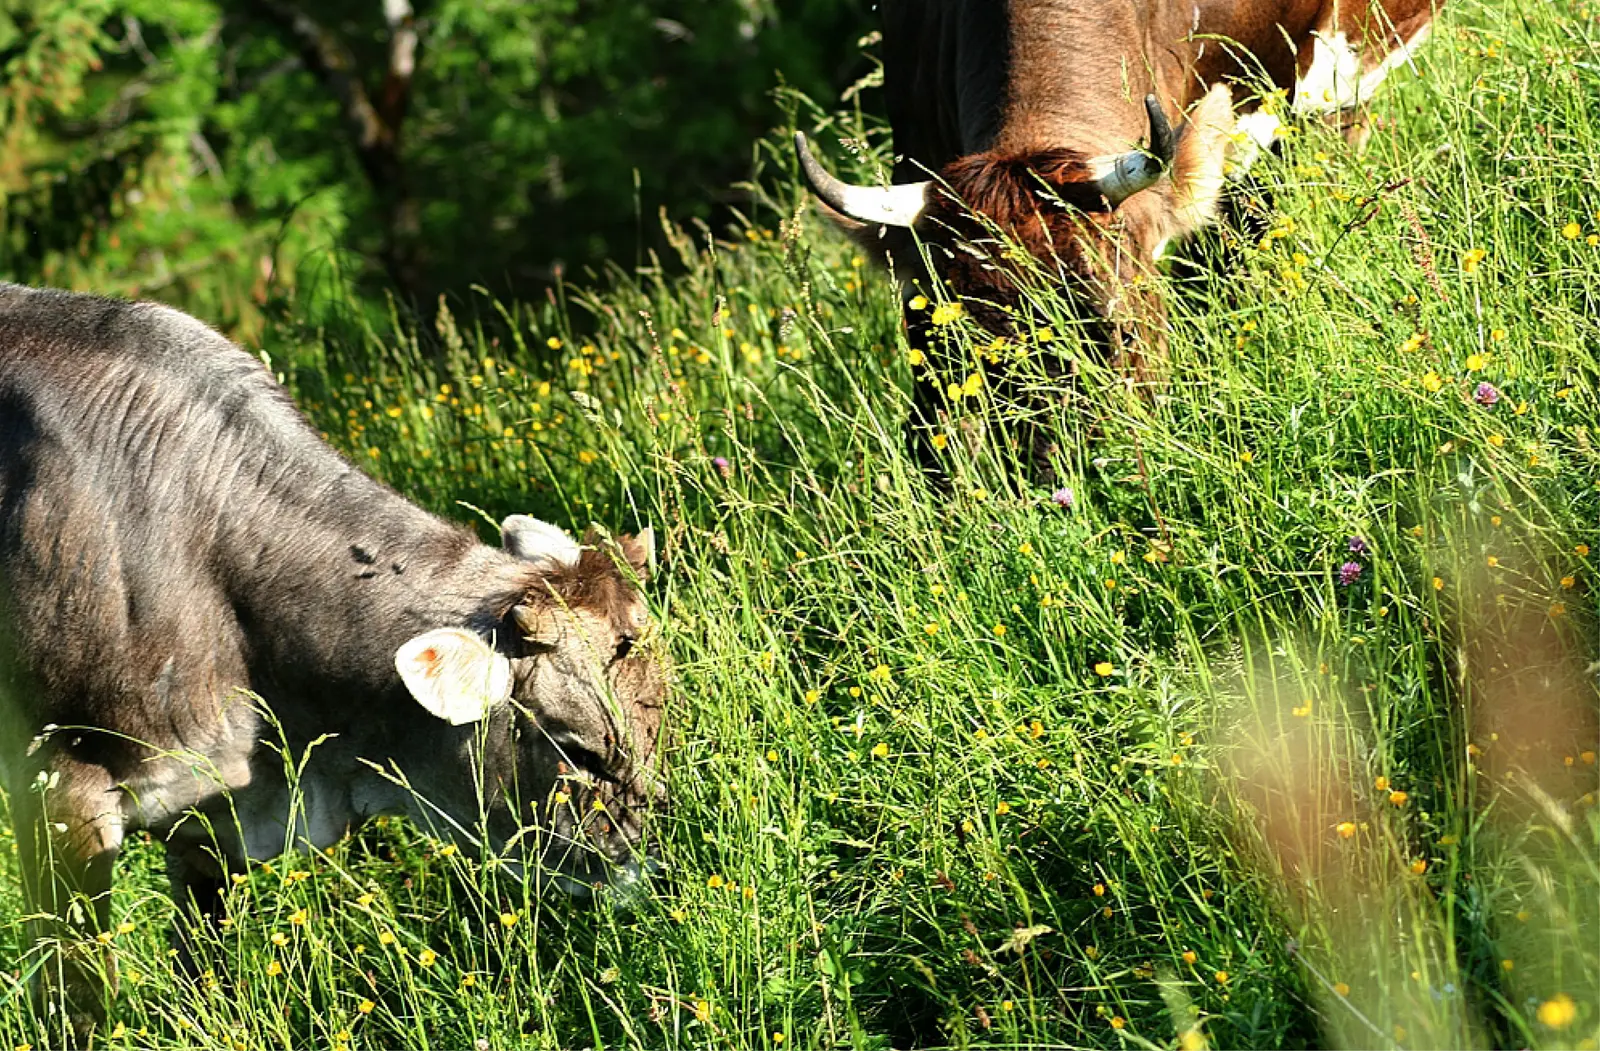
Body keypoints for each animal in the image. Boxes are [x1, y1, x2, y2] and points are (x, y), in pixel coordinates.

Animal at [0, 283, 667, 1040]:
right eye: (578, 749)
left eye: (664, 719)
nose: (653, 871)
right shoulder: (57, 784)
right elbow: (75, 996)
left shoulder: (209, 812)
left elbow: (204, 967)